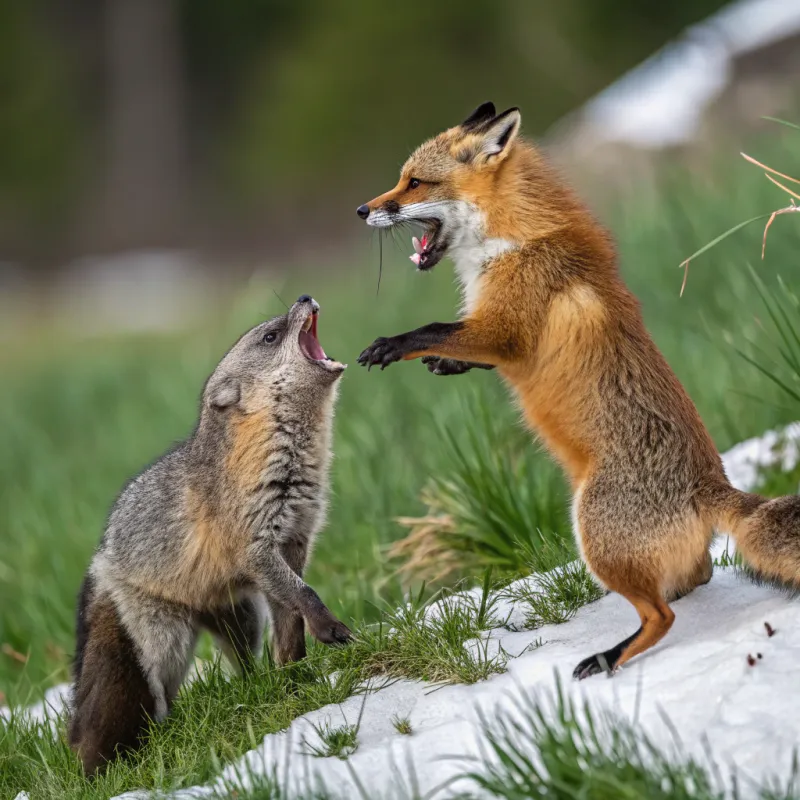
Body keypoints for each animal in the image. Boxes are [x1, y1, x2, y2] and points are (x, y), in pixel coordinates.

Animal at [69, 295, 351, 774]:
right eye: (270, 336)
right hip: (159, 630)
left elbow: (289, 601)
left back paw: (255, 684)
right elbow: (296, 586)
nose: (305, 297)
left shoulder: (297, 532)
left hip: (238, 612)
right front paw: (330, 628)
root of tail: (99, 564)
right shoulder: (254, 533)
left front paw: (294, 667)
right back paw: (154, 733)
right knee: (154, 682)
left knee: (242, 653)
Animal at [356, 101, 800, 679]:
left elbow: (433, 327)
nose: (362, 210)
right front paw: (446, 363)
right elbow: (453, 341)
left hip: (593, 530)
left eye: (414, 183)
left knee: (660, 617)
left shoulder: (506, 332)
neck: (512, 240)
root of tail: (714, 485)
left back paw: (608, 656)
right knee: (695, 576)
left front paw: (392, 345)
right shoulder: (492, 333)